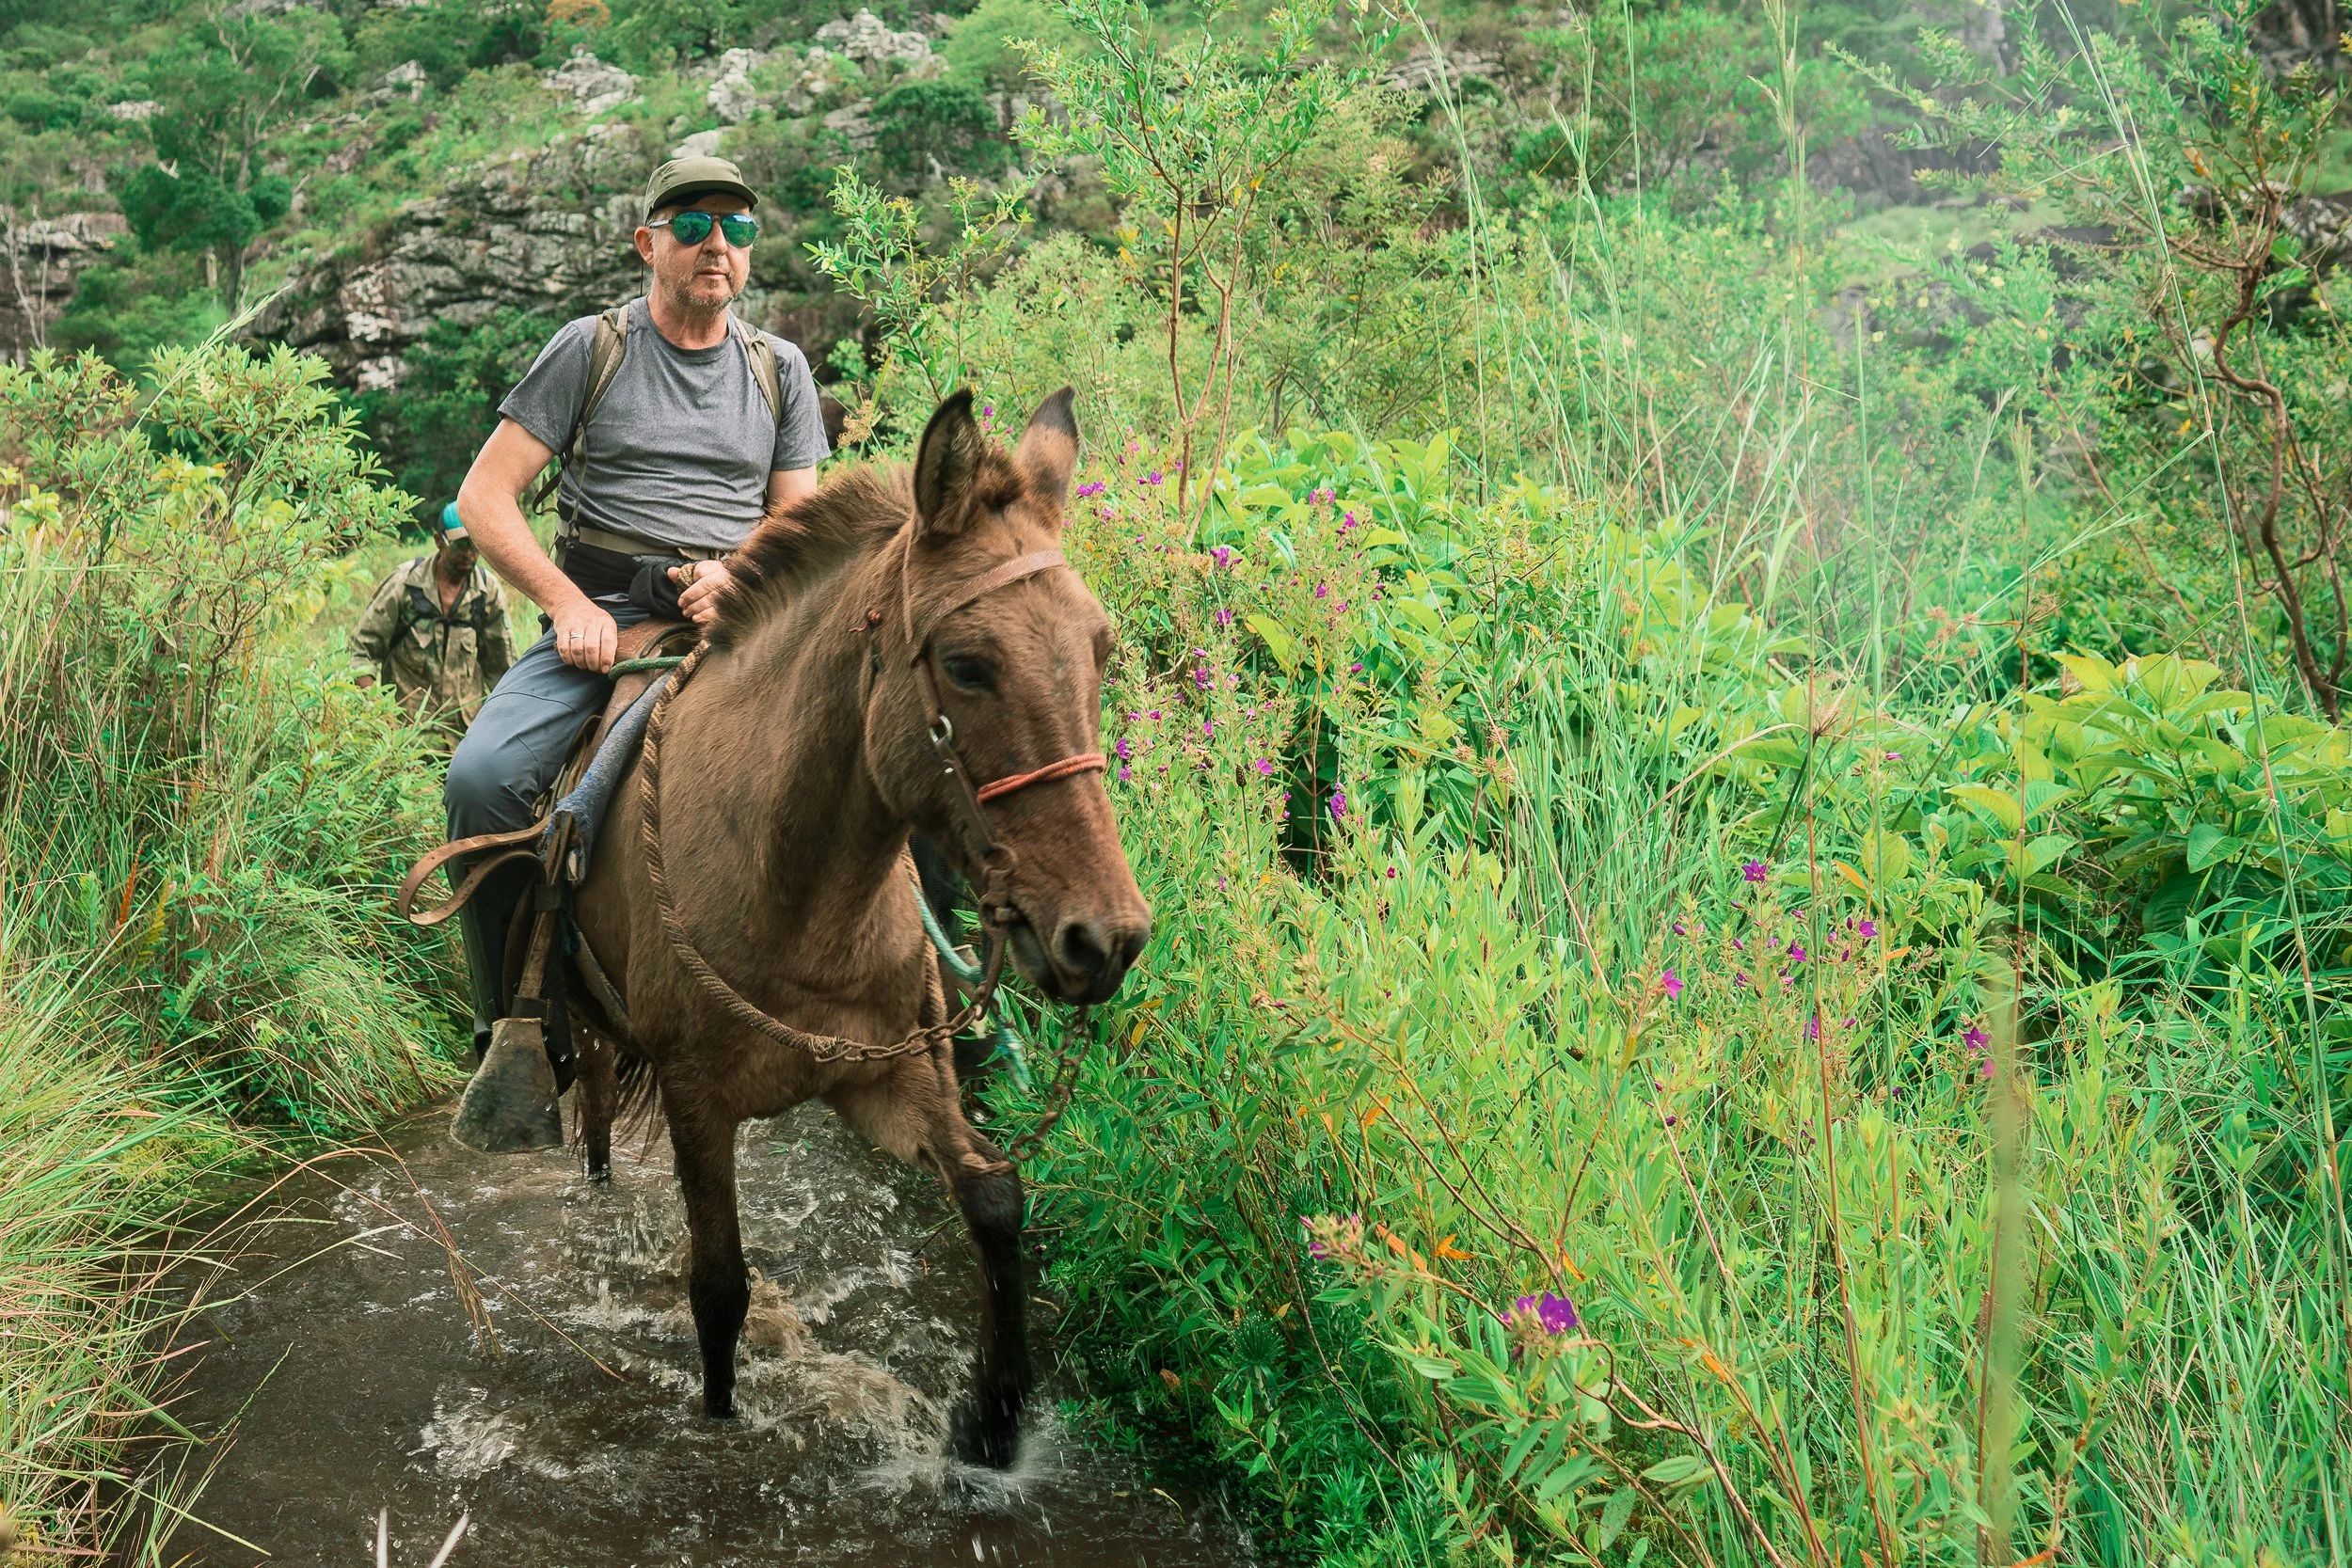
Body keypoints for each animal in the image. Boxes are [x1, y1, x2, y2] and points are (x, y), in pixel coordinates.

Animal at [564, 387, 1150, 1466]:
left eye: (1101, 648)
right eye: (966, 664)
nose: (1107, 938)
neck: (798, 898)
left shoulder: (893, 1075)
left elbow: (995, 1198)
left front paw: (993, 1421)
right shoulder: (696, 1099)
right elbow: (720, 1289)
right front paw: (721, 1414)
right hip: (580, 1021)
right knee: (588, 1115)